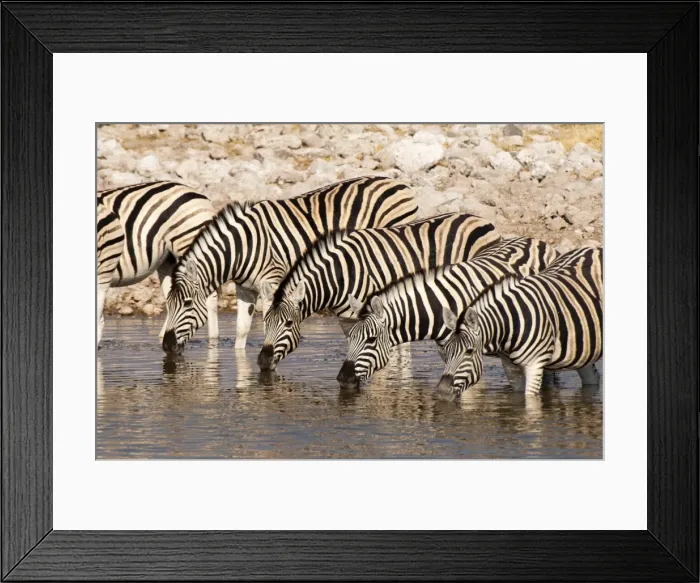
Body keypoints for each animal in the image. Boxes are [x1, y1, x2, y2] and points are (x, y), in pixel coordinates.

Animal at [97, 181, 219, 346]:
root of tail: (198, 193)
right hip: (167, 260)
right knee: (173, 295)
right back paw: (164, 336)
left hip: (189, 243)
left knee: (208, 296)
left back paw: (213, 341)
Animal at [161, 176, 418, 354]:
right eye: (168, 305)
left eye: (186, 303)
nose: (166, 346)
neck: (243, 247)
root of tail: (401, 184)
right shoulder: (245, 288)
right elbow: (241, 329)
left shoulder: (272, 282)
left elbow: (269, 323)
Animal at [257, 212, 500, 371]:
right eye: (265, 321)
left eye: (289, 323)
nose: (262, 362)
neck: (341, 274)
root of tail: (481, 219)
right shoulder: (347, 319)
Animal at [337, 236, 557, 389]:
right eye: (350, 336)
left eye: (371, 340)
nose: (342, 379)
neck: (440, 307)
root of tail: (536, 241)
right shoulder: (448, 354)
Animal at [437, 246, 603, 399]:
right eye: (446, 350)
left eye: (469, 351)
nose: (442, 391)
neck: (510, 324)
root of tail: (593, 248)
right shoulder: (510, 367)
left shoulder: (535, 365)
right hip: (585, 348)